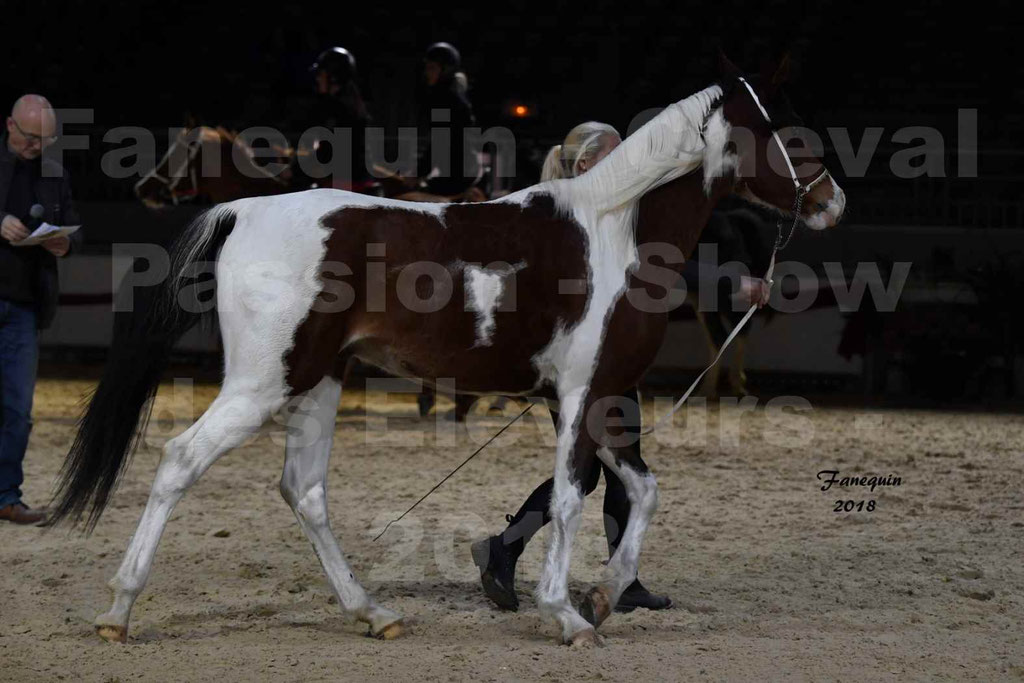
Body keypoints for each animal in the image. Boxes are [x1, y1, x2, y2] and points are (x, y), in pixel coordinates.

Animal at [51, 54, 845, 646]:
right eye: (791, 134)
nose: (832, 201)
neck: (615, 230)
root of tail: (243, 209)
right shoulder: (585, 394)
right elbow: (570, 497)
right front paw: (567, 614)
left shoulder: (600, 399)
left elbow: (639, 490)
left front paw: (603, 594)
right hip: (262, 385)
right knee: (181, 459)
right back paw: (118, 610)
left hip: (318, 381)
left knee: (304, 489)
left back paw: (374, 612)